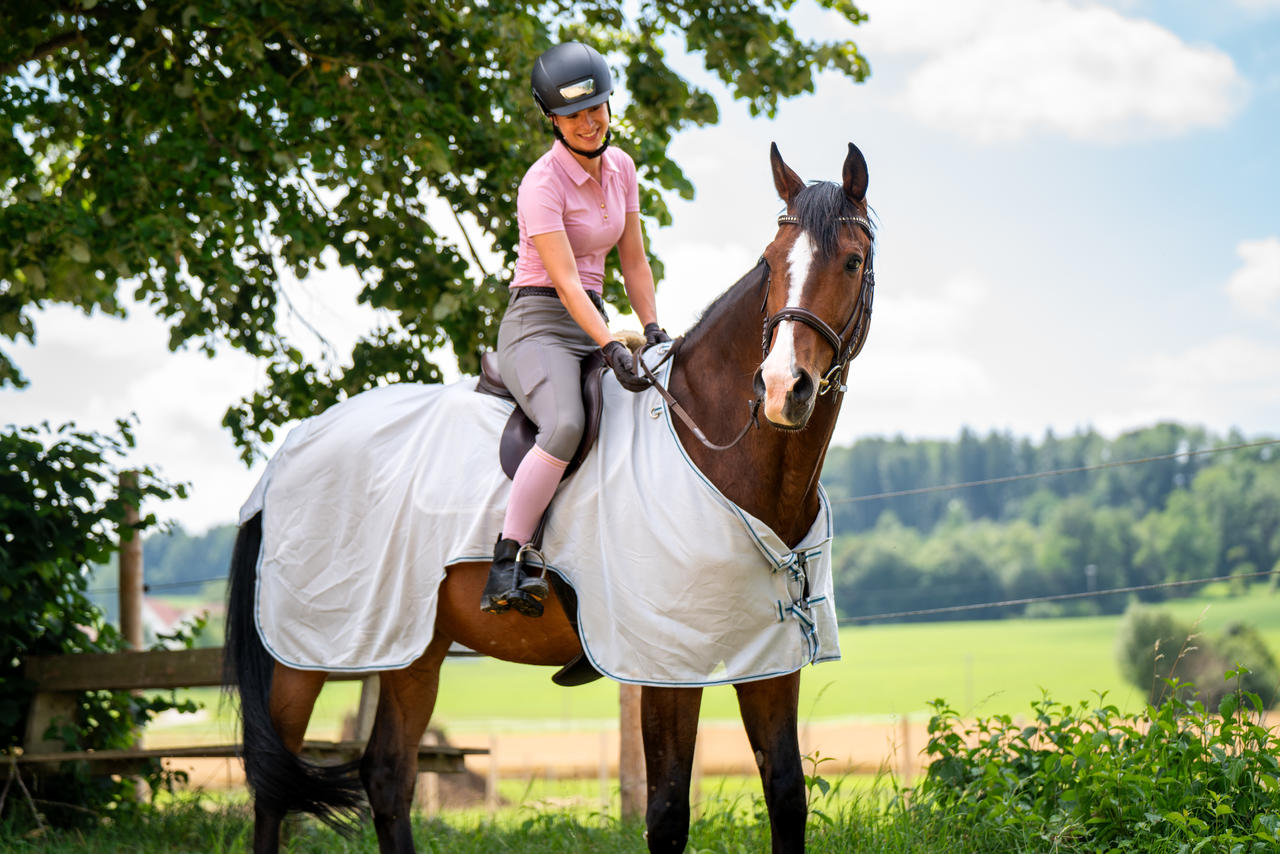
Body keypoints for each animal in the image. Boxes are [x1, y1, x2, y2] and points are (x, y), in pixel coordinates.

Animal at [225, 142, 875, 854]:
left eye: (852, 261)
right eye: (770, 263)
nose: (785, 389)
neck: (714, 449)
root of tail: (292, 448)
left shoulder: (771, 658)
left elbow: (786, 795)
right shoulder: (667, 664)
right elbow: (668, 814)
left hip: (411, 646)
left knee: (388, 775)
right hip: (304, 653)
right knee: (272, 784)